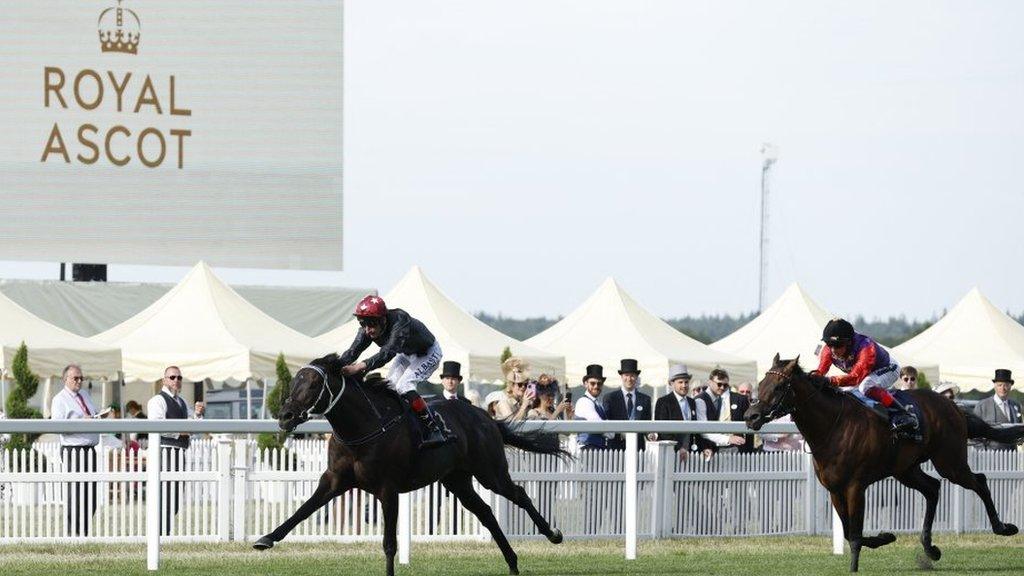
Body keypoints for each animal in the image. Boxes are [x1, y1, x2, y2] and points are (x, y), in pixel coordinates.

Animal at [250, 352, 565, 569]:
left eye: (315, 383)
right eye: (295, 380)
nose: (285, 416)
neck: (363, 428)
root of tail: (486, 417)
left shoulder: (387, 488)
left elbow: (389, 544)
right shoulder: (335, 480)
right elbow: (303, 510)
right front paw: (266, 538)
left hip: (490, 471)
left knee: (519, 494)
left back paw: (552, 534)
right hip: (457, 480)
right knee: (486, 512)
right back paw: (512, 562)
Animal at [745, 354, 1024, 569]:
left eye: (779, 386)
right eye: (761, 383)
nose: (750, 416)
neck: (832, 427)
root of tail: (954, 406)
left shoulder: (855, 486)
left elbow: (855, 535)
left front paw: (854, 567)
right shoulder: (834, 489)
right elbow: (849, 530)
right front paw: (885, 536)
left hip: (950, 462)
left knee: (979, 481)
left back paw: (1003, 527)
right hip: (906, 469)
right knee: (933, 488)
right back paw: (930, 548)